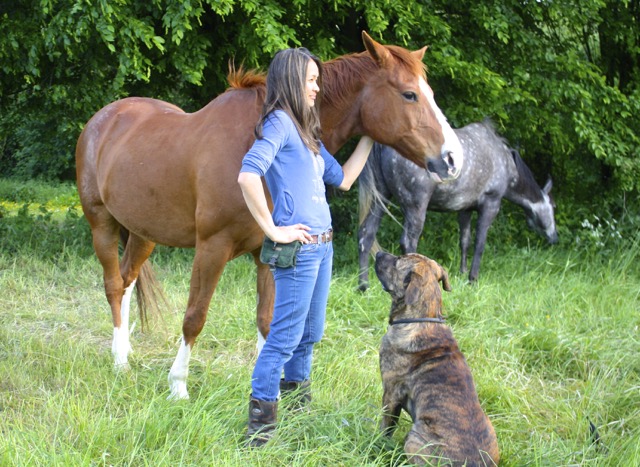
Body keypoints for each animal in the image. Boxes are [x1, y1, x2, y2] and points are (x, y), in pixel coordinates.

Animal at [76, 31, 460, 400]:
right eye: (410, 94)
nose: (453, 158)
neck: (253, 141)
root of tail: (103, 119)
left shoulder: (270, 253)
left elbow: (267, 320)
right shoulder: (211, 248)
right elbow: (195, 317)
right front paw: (178, 386)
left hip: (143, 232)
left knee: (127, 282)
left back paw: (125, 351)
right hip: (102, 225)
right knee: (113, 285)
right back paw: (120, 361)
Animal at [358, 119, 556, 288]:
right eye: (553, 207)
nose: (555, 237)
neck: (506, 163)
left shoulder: (465, 209)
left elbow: (465, 241)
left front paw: (462, 272)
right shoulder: (490, 204)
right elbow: (480, 243)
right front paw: (473, 279)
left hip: (380, 199)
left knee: (366, 235)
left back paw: (363, 286)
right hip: (415, 206)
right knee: (408, 242)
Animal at [376, 254, 500, 466]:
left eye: (398, 260)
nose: (378, 254)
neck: (422, 319)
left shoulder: (391, 392)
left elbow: (386, 427)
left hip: (415, 436)